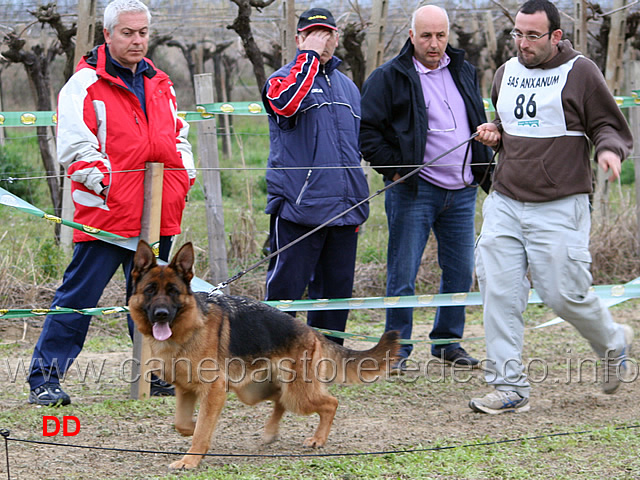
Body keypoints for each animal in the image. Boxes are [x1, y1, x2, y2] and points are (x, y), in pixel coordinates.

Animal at [129, 240, 400, 468]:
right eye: (150, 290)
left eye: (173, 291)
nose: (161, 314)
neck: (188, 329)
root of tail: (311, 331)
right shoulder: (186, 390)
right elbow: (184, 424)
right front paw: (196, 431)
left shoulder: (213, 391)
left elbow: (202, 427)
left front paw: (192, 458)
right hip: (254, 391)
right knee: (280, 400)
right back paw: (271, 432)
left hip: (298, 395)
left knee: (330, 403)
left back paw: (318, 439)